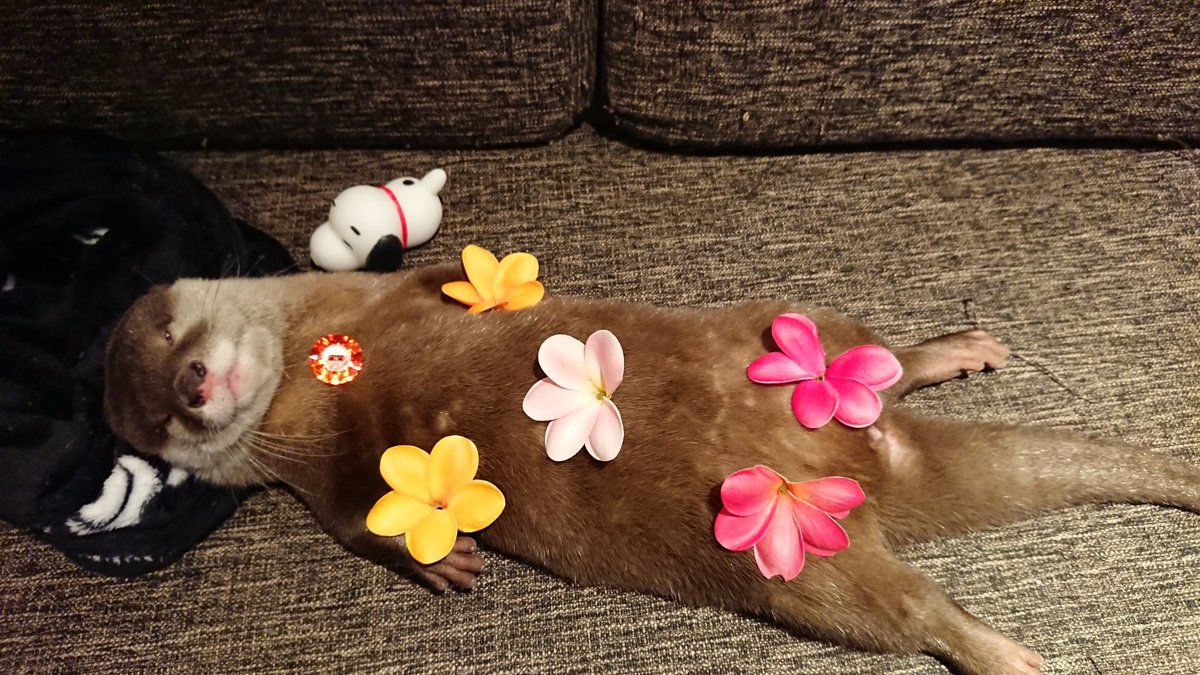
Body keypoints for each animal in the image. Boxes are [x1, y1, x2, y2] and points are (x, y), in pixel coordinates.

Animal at [105, 263, 1200, 672]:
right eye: (152, 415)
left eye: (168, 328)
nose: (195, 386)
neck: (312, 361)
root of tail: (862, 450)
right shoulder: (309, 475)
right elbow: (354, 516)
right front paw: (438, 558)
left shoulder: (367, 292)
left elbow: (435, 282)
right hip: (804, 563)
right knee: (912, 606)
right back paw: (1007, 652)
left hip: (784, 338)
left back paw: (948, 352)